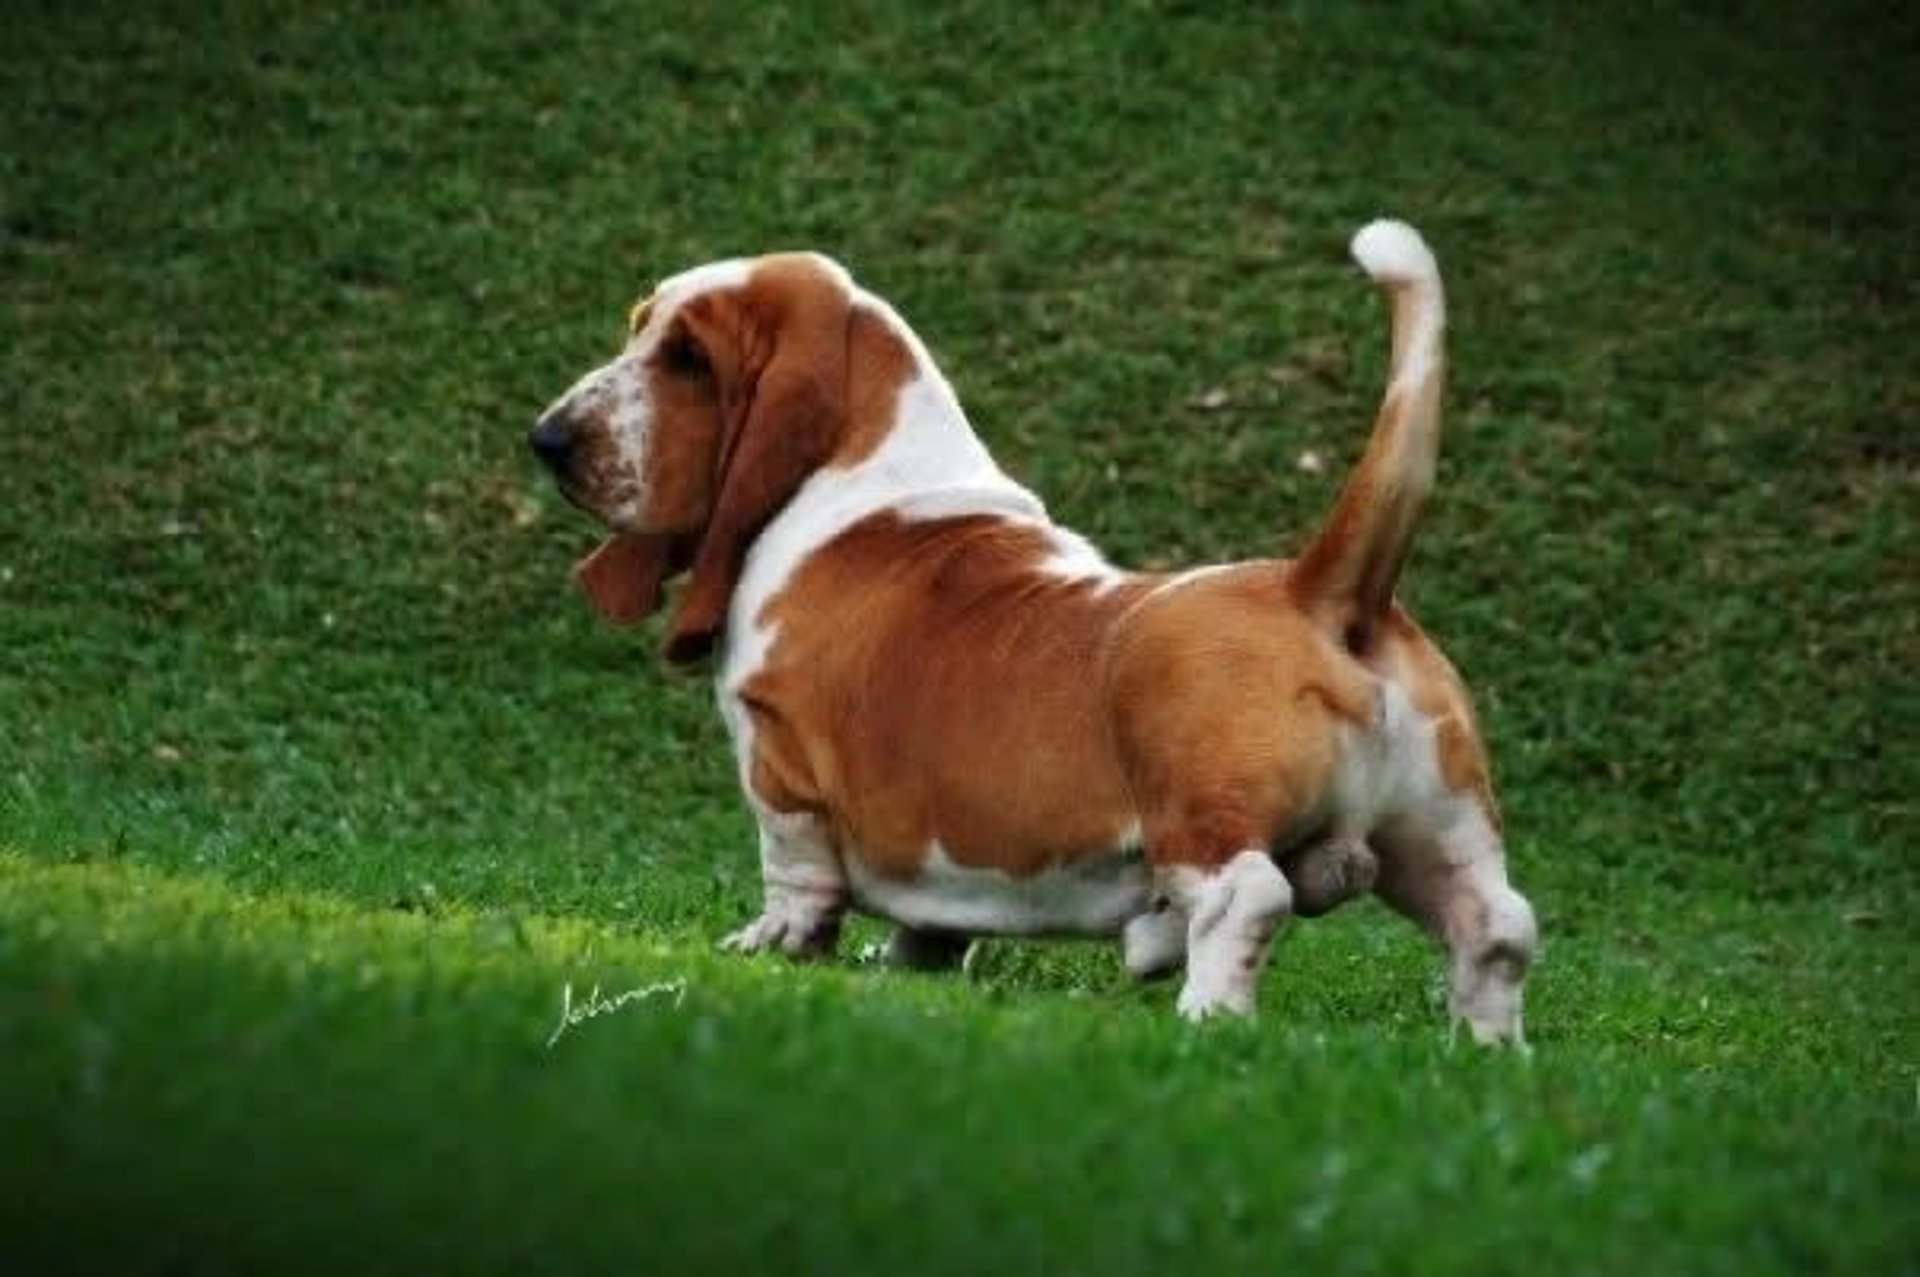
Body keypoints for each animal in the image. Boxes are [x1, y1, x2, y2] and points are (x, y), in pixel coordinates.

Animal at [529, 216, 1543, 1036]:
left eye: (689, 361)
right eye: (638, 325)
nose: (547, 439)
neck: (859, 468)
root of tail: (1319, 590)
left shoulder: (778, 760)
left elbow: (796, 869)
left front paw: (772, 943)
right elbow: (928, 918)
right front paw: (906, 967)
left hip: (1200, 814)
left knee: (1246, 898)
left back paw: (1209, 1016)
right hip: (1438, 821)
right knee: (1497, 926)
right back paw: (1488, 1052)